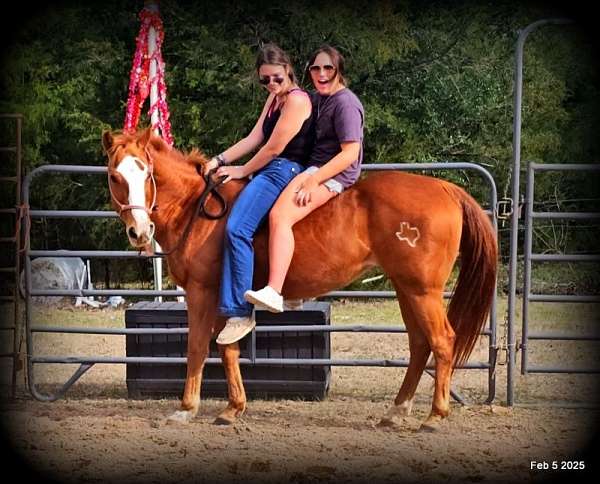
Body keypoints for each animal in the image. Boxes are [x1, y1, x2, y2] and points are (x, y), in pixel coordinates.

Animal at [103, 127, 496, 432]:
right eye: (115, 176)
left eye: (145, 173)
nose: (139, 231)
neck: (197, 208)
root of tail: (445, 189)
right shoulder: (223, 298)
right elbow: (228, 348)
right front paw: (233, 408)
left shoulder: (202, 293)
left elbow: (198, 347)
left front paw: (186, 409)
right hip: (406, 289)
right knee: (419, 345)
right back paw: (396, 411)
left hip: (422, 291)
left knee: (442, 341)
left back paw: (435, 416)